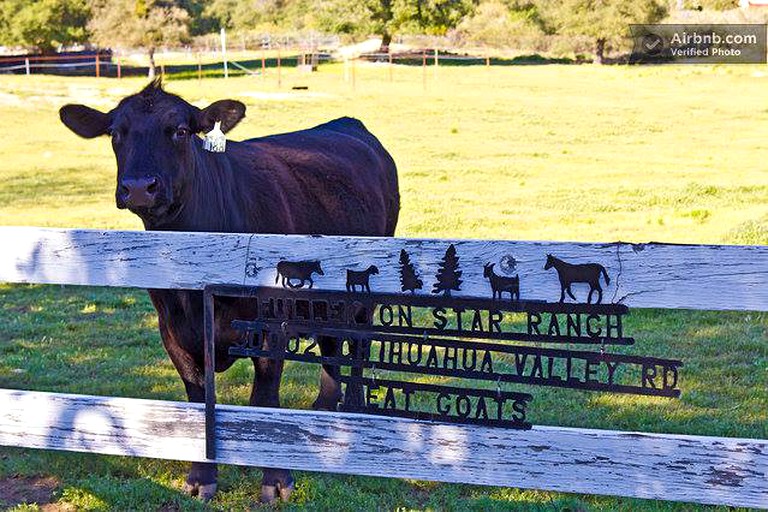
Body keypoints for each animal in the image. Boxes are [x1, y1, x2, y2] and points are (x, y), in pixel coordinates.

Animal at [58, 80, 402, 504]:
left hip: (365, 291)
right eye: (115, 133)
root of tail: (347, 123)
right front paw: (201, 478)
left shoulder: (270, 325)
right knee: (331, 344)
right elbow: (196, 398)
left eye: (181, 131)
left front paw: (276, 480)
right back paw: (323, 408)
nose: (139, 188)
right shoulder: (172, 330)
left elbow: (264, 400)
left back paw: (352, 413)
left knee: (357, 344)